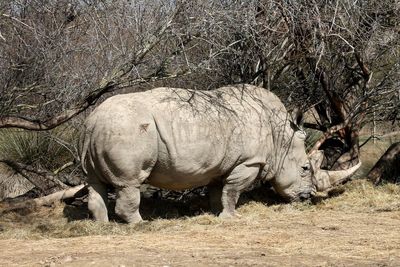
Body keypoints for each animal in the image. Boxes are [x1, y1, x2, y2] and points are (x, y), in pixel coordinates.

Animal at [79, 85, 360, 223]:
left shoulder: (220, 165)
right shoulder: (249, 162)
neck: (281, 137)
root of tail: (93, 121)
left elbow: (218, 191)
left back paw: (101, 225)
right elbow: (233, 190)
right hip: (128, 130)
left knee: (94, 181)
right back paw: (140, 224)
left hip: (104, 128)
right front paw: (232, 217)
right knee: (129, 183)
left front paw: (216, 213)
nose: (306, 197)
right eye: (304, 169)